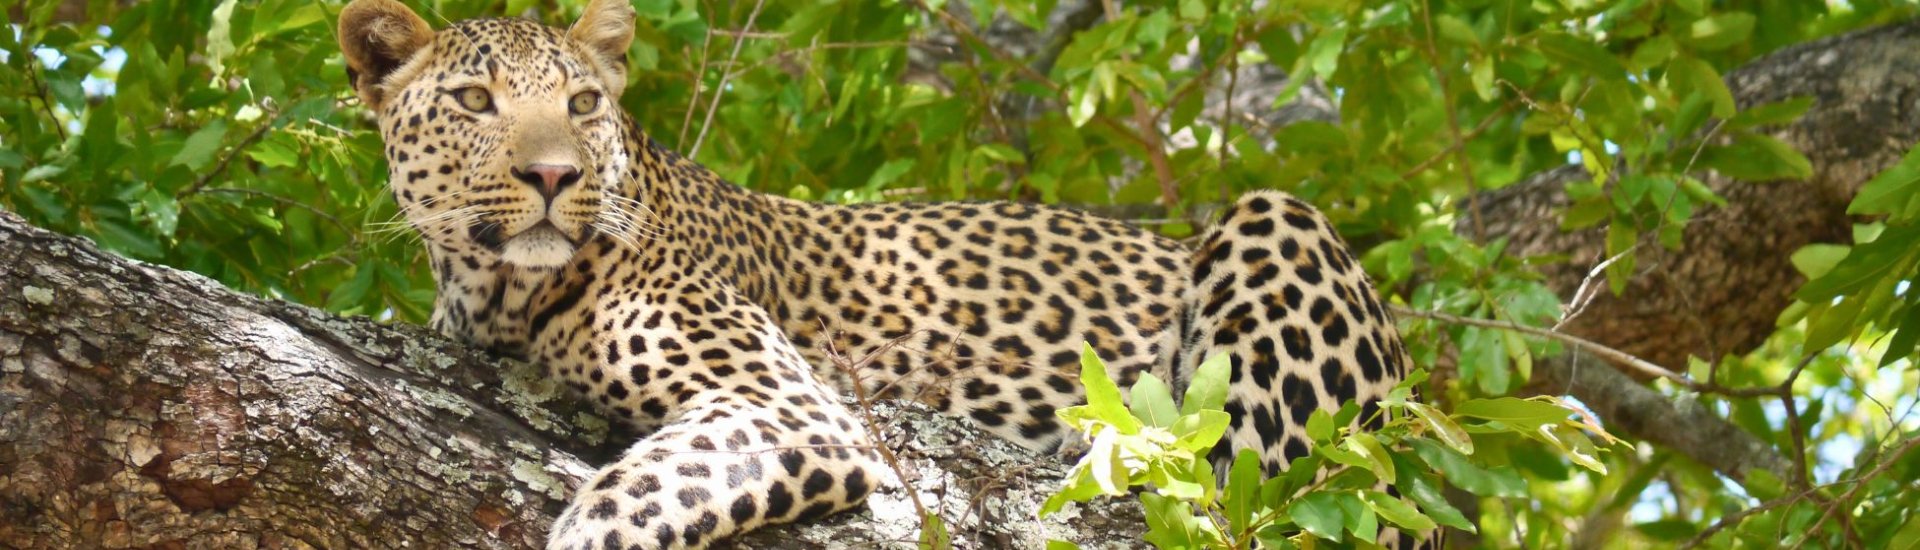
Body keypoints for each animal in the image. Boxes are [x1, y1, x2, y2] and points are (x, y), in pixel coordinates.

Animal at [336, 1, 1425, 548]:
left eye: (583, 102)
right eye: (475, 101)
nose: (554, 176)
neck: (500, 293)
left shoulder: (786, 407)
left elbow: (625, 505)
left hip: (1275, 225)